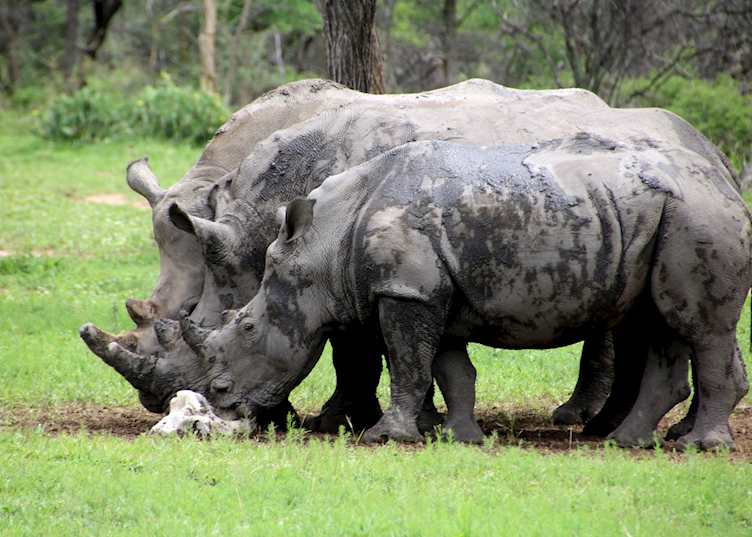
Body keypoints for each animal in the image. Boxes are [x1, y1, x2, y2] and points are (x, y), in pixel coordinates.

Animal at [173, 138, 750, 449]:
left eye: (247, 326)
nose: (220, 401)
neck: (324, 241)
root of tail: (724, 179)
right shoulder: (430, 293)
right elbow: (449, 369)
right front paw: (458, 437)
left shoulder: (407, 291)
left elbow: (408, 363)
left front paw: (387, 436)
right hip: (665, 217)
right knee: (661, 325)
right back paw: (627, 441)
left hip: (696, 216)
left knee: (700, 328)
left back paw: (696, 446)